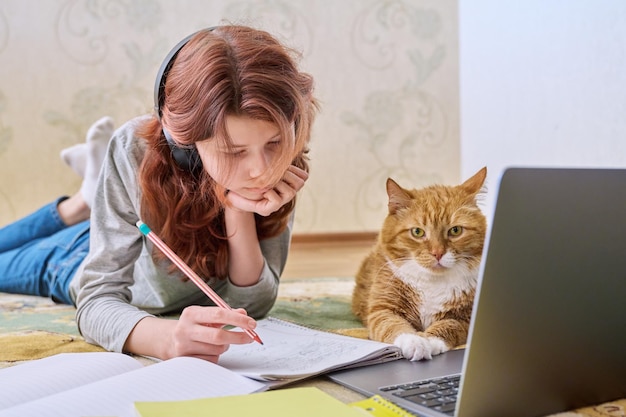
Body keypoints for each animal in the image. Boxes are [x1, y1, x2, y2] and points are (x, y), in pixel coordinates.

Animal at [352, 167, 488, 360]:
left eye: (455, 230)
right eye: (417, 232)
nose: (438, 253)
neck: (432, 283)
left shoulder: (466, 318)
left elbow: (448, 325)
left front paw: (429, 340)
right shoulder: (383, 309)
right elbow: (394, 325)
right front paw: (415, 342)